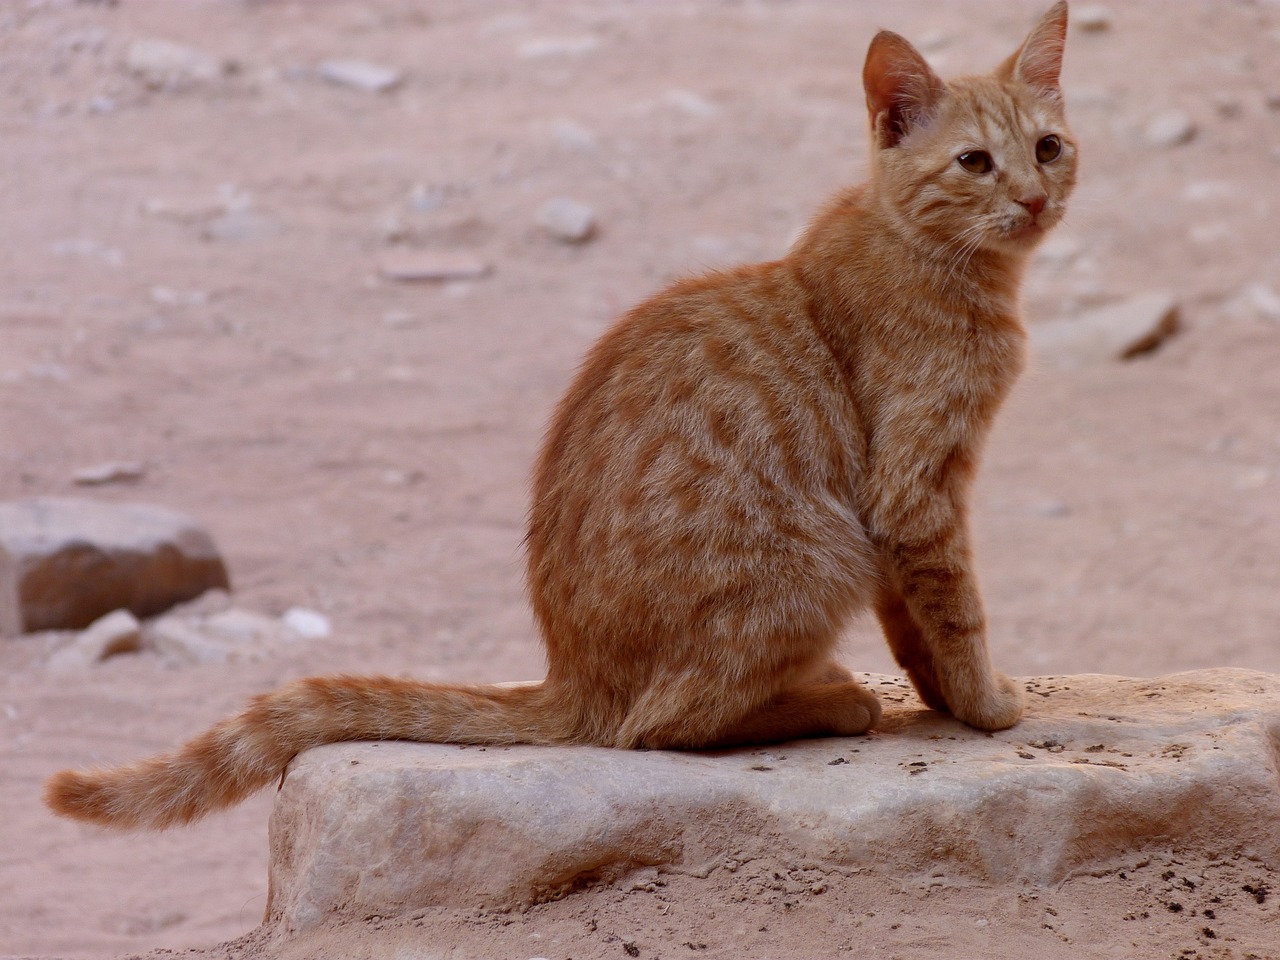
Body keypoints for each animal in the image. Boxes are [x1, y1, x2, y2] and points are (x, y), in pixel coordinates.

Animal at [45, 0, 1075, 829]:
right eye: (975, 162)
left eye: (1049, 148)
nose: (1032, 197)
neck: (941, 259)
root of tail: (569, 676)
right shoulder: (913, 489)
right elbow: (956, 607)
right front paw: (985, 704)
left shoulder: (907, 507)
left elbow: (914, 623)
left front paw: (946, 700)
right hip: (821, 555)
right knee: (655, 727)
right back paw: (828, 702)